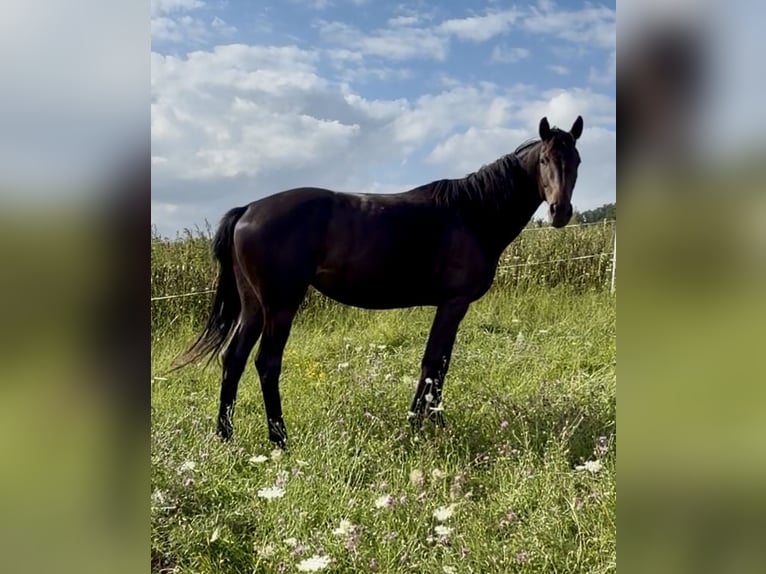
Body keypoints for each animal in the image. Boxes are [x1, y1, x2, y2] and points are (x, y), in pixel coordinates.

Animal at [172, 116, 584, 447]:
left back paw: (225, 436)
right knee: (266, 364)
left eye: (577, 161)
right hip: (280, 306)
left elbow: (435, 364)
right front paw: (426, 424)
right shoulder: (453, 304)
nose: (560, 212)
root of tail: (248, 209)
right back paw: (279, 439)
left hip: (254, 306)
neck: (471, 213)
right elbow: (435, 363)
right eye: (545, 160)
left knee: (234, 359)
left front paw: (423, 422)